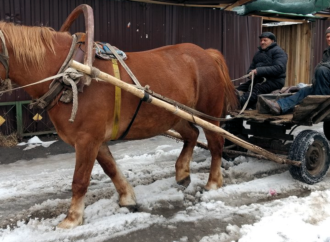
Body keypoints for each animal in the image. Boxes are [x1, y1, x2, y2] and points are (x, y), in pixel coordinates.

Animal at [0, 21, 238, 228]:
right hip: (176, 115)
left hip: (209, 114)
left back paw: (213, 182)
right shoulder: (96, 139)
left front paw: (72, 218)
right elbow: (110, 168)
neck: (69, 73)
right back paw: (182, 173)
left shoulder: (87, 139)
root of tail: (207, 53)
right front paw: (127, 197)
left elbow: (80, 180)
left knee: (216, 144)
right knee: (192, 134)